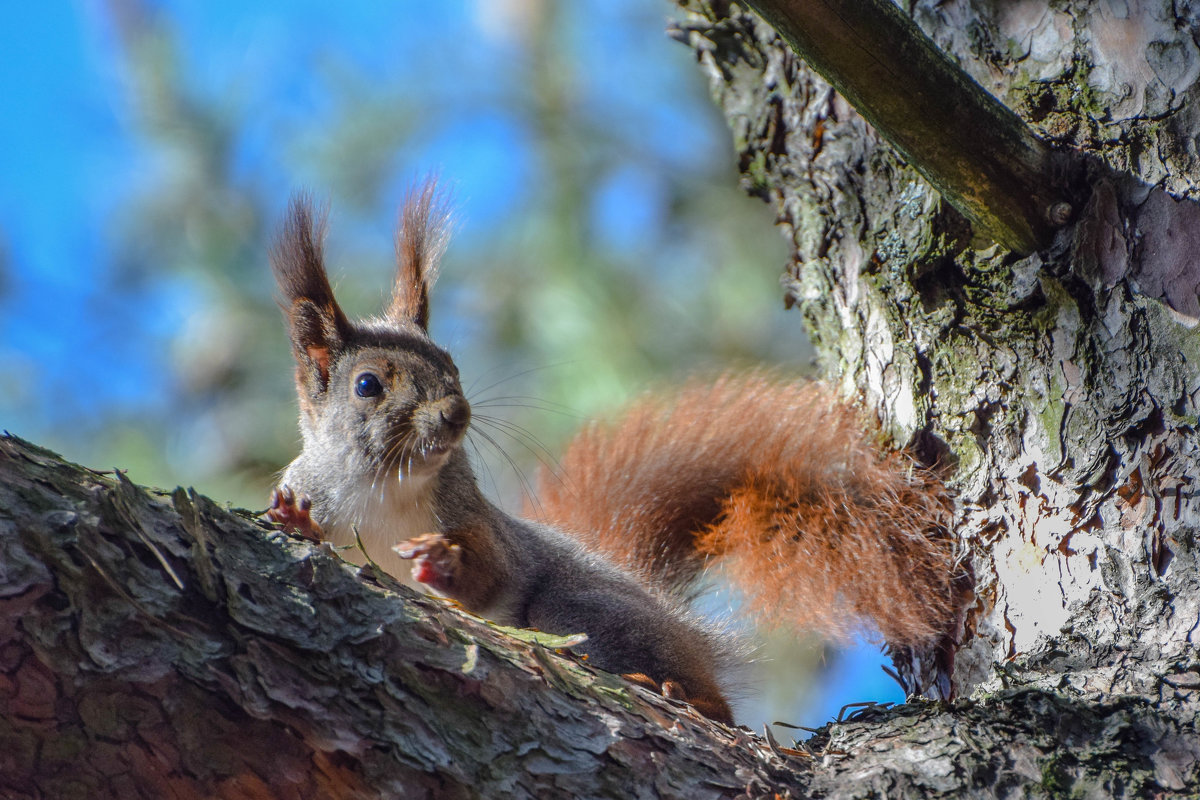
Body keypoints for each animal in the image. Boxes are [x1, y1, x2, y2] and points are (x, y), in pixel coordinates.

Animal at [267, 181, 969, 724]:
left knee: (715, 704)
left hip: (580, 608)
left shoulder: (473, 517)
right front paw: (295, 517)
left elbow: (494, 569)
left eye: (452, 365)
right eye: (368, 385)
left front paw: (445, 564)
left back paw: (677, 693)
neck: (384, 488)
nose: (455, 413)